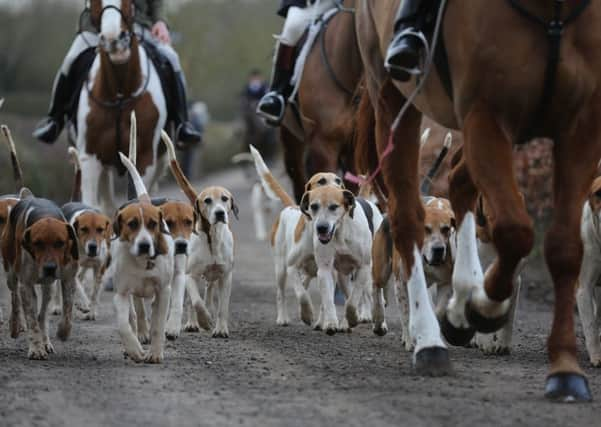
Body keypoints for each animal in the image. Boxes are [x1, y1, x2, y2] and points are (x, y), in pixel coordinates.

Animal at [356, 0, 600, 402]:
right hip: (395, 102)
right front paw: (460, 320)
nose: (439, 248)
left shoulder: (580, 127)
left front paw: (565, 370)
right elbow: (513, 235)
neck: (551, 14)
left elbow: (561, 250)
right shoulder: (487, 114)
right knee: (401, 231)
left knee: (458, 183)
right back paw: (427, 340)